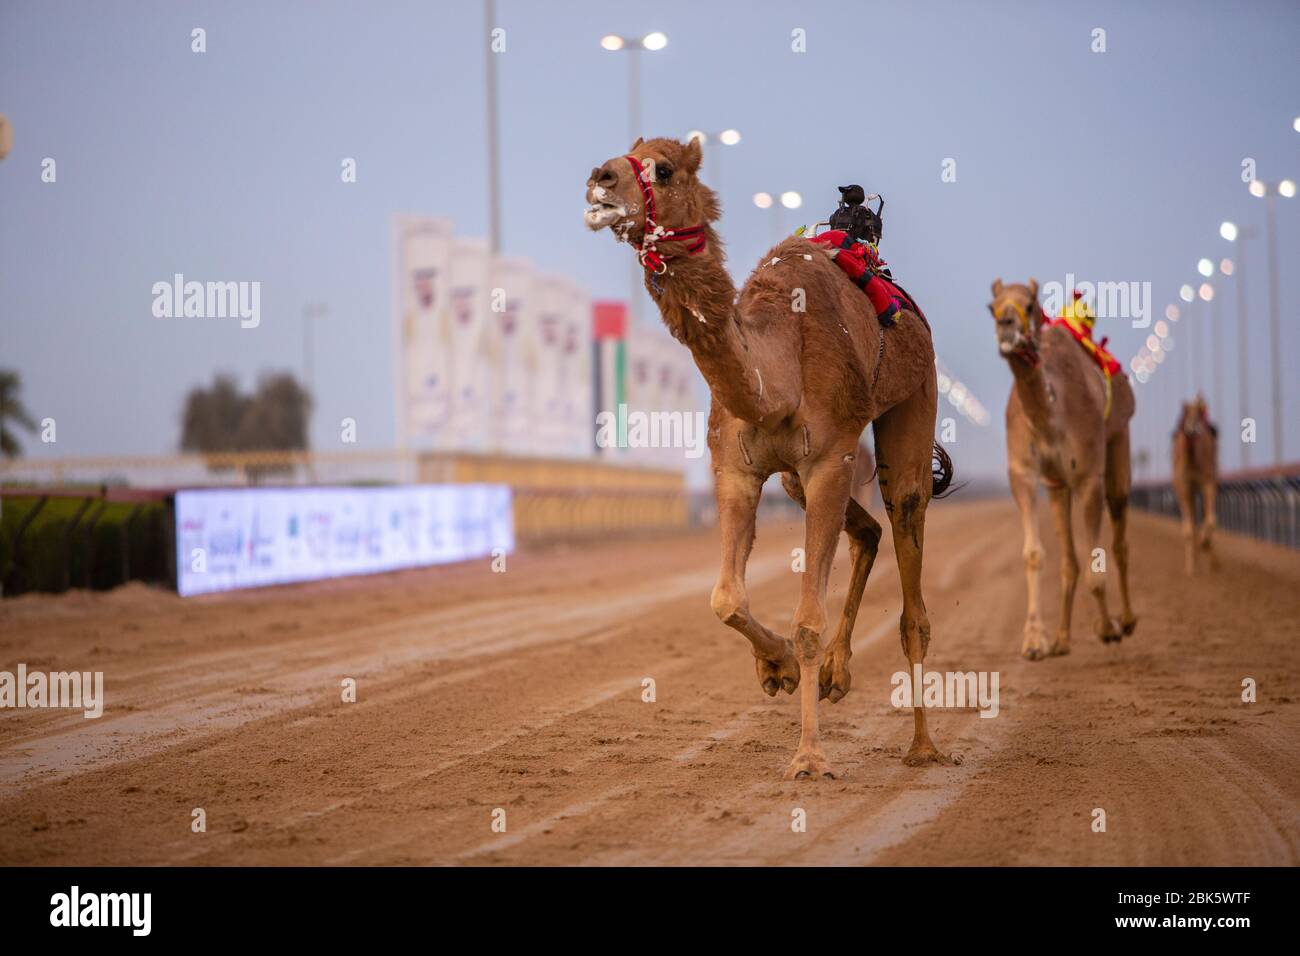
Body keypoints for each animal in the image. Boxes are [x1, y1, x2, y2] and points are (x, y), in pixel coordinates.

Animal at [585, 137, 954, 779]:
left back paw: (922, 747)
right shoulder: (736, 468)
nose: (599, 179)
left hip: (914, 398)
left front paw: (808, 758)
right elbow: (725, 598)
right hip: (795, 482)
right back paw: (835, 675)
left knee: (908, 551)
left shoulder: (829, 459)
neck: (774, 372)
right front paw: (775, 666)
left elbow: (807, 620)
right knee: (868, 531)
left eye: (664, 168)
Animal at [988, 280, 1137, 659]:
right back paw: (1062, 639)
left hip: (1118, 440)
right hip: (1058, 485)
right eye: (991, 307)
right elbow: (1034, 554)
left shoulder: (1088, 475)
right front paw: (1033, 641)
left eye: (1029, 305)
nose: (1006, 326)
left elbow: (1096, 558)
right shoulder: (1024, 472)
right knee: (1069, 558)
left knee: (1120, 536)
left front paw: (1107, 628)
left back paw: (1127, 621)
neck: (1051, 420)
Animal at [1172, 396, 1219, 574]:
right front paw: (1190, 568)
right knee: (1191, 522)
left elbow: (1211, 520)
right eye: (1185, 413)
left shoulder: (1208, 481)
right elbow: (1189, 529)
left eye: (1199, 414)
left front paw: (1204, 544)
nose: (1191, 429)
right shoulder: (1184, 486)